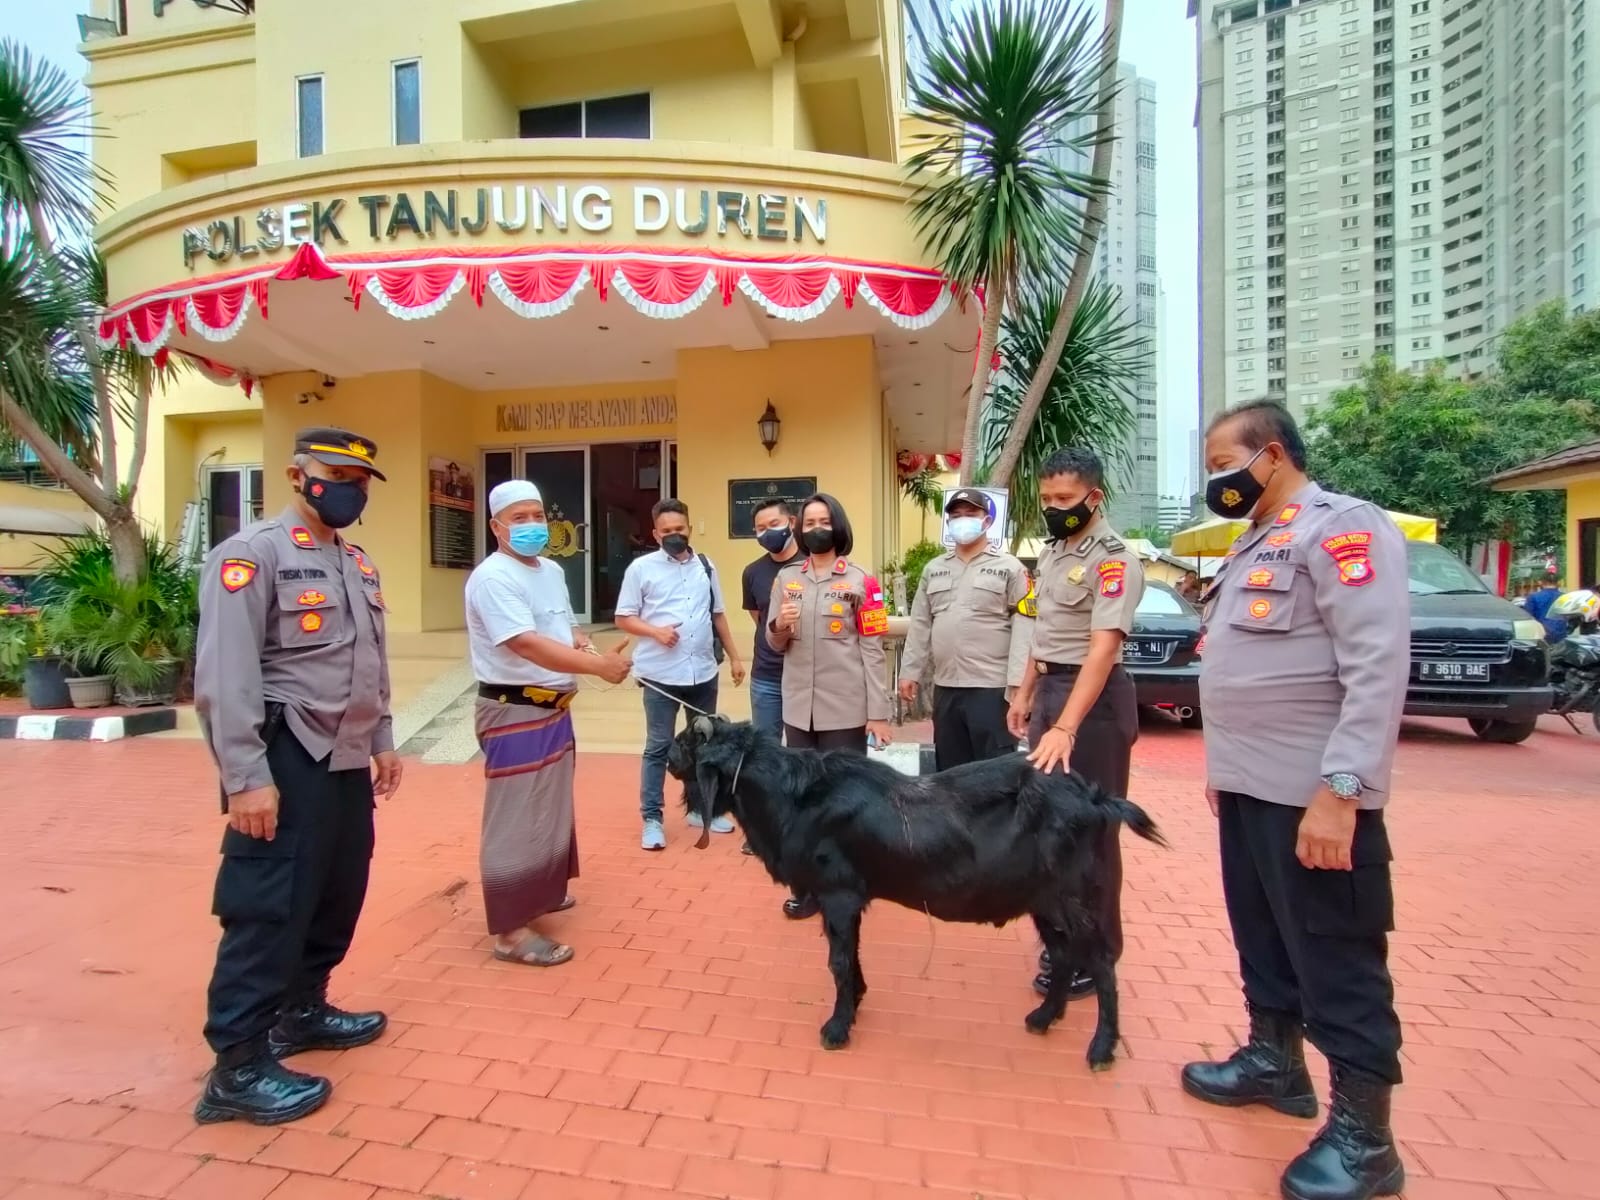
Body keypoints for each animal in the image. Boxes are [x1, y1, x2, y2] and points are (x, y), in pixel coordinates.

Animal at [662, 713, 1164, 1068]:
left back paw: (1101, 1049)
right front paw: (857, 1001)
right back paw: (1042, 1018)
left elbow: (838, 961)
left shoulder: (838, 894)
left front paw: (837, 1027)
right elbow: (851, 955)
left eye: (687, 743)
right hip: (1045, 900)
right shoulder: (849, 901)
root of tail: (1098, 800)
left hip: (1077, 896)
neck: (797, 796)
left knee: (1100, 963)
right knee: (1061, 955)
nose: (666, 757)